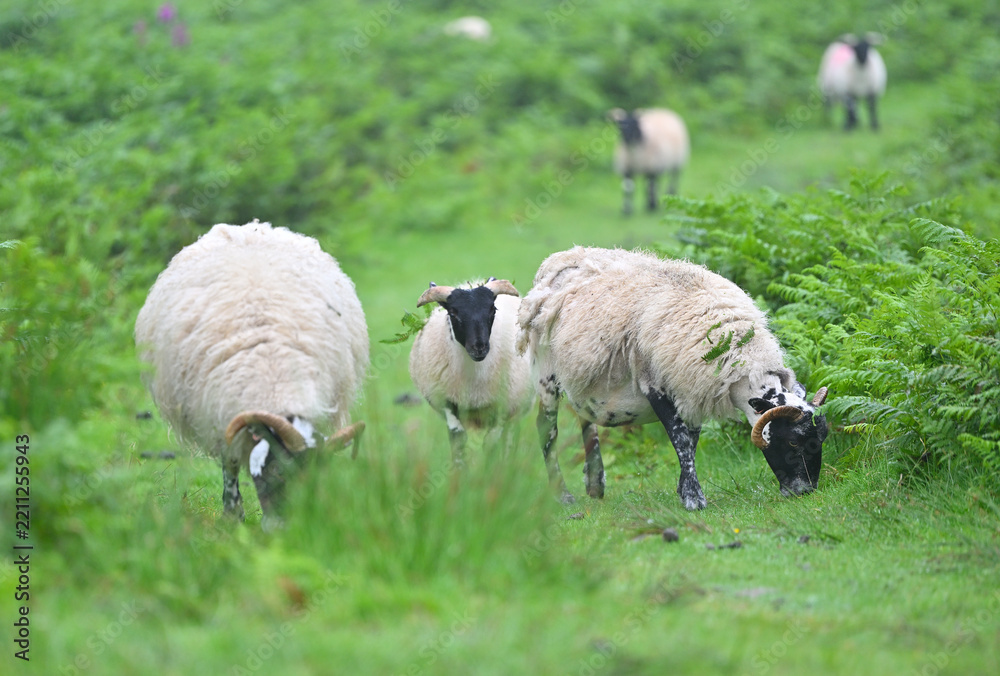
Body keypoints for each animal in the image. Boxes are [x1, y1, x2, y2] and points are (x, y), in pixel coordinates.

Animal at [135, 220, 369, 522]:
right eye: (277, 470)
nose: (286, 526)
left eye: (316, 477)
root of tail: (249, 227)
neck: (274, 382)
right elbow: (231, 463)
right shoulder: (222, 419)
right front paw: (233, 515)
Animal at [409, 278, 535, 465]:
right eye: (453, 313)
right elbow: (458, 441)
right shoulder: (448, 402)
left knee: (508, 440)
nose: (479, 347)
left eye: (492, 309)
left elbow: (491, 443)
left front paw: (489, 471)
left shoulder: (503, 406)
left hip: (516, 408)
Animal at [516, 246, 829, 509]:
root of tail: (558, 259)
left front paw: (683, 490)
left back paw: (595, 483)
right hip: (545, 372)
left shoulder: (692, 391)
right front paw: (693, 499)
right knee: (547, 428)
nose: (805, 491)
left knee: (585, 418)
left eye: (821, 439)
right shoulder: (656, 386)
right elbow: (680, 440)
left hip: (582, 376)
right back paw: (563, 495)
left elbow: (691, 440)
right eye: (793, 442)